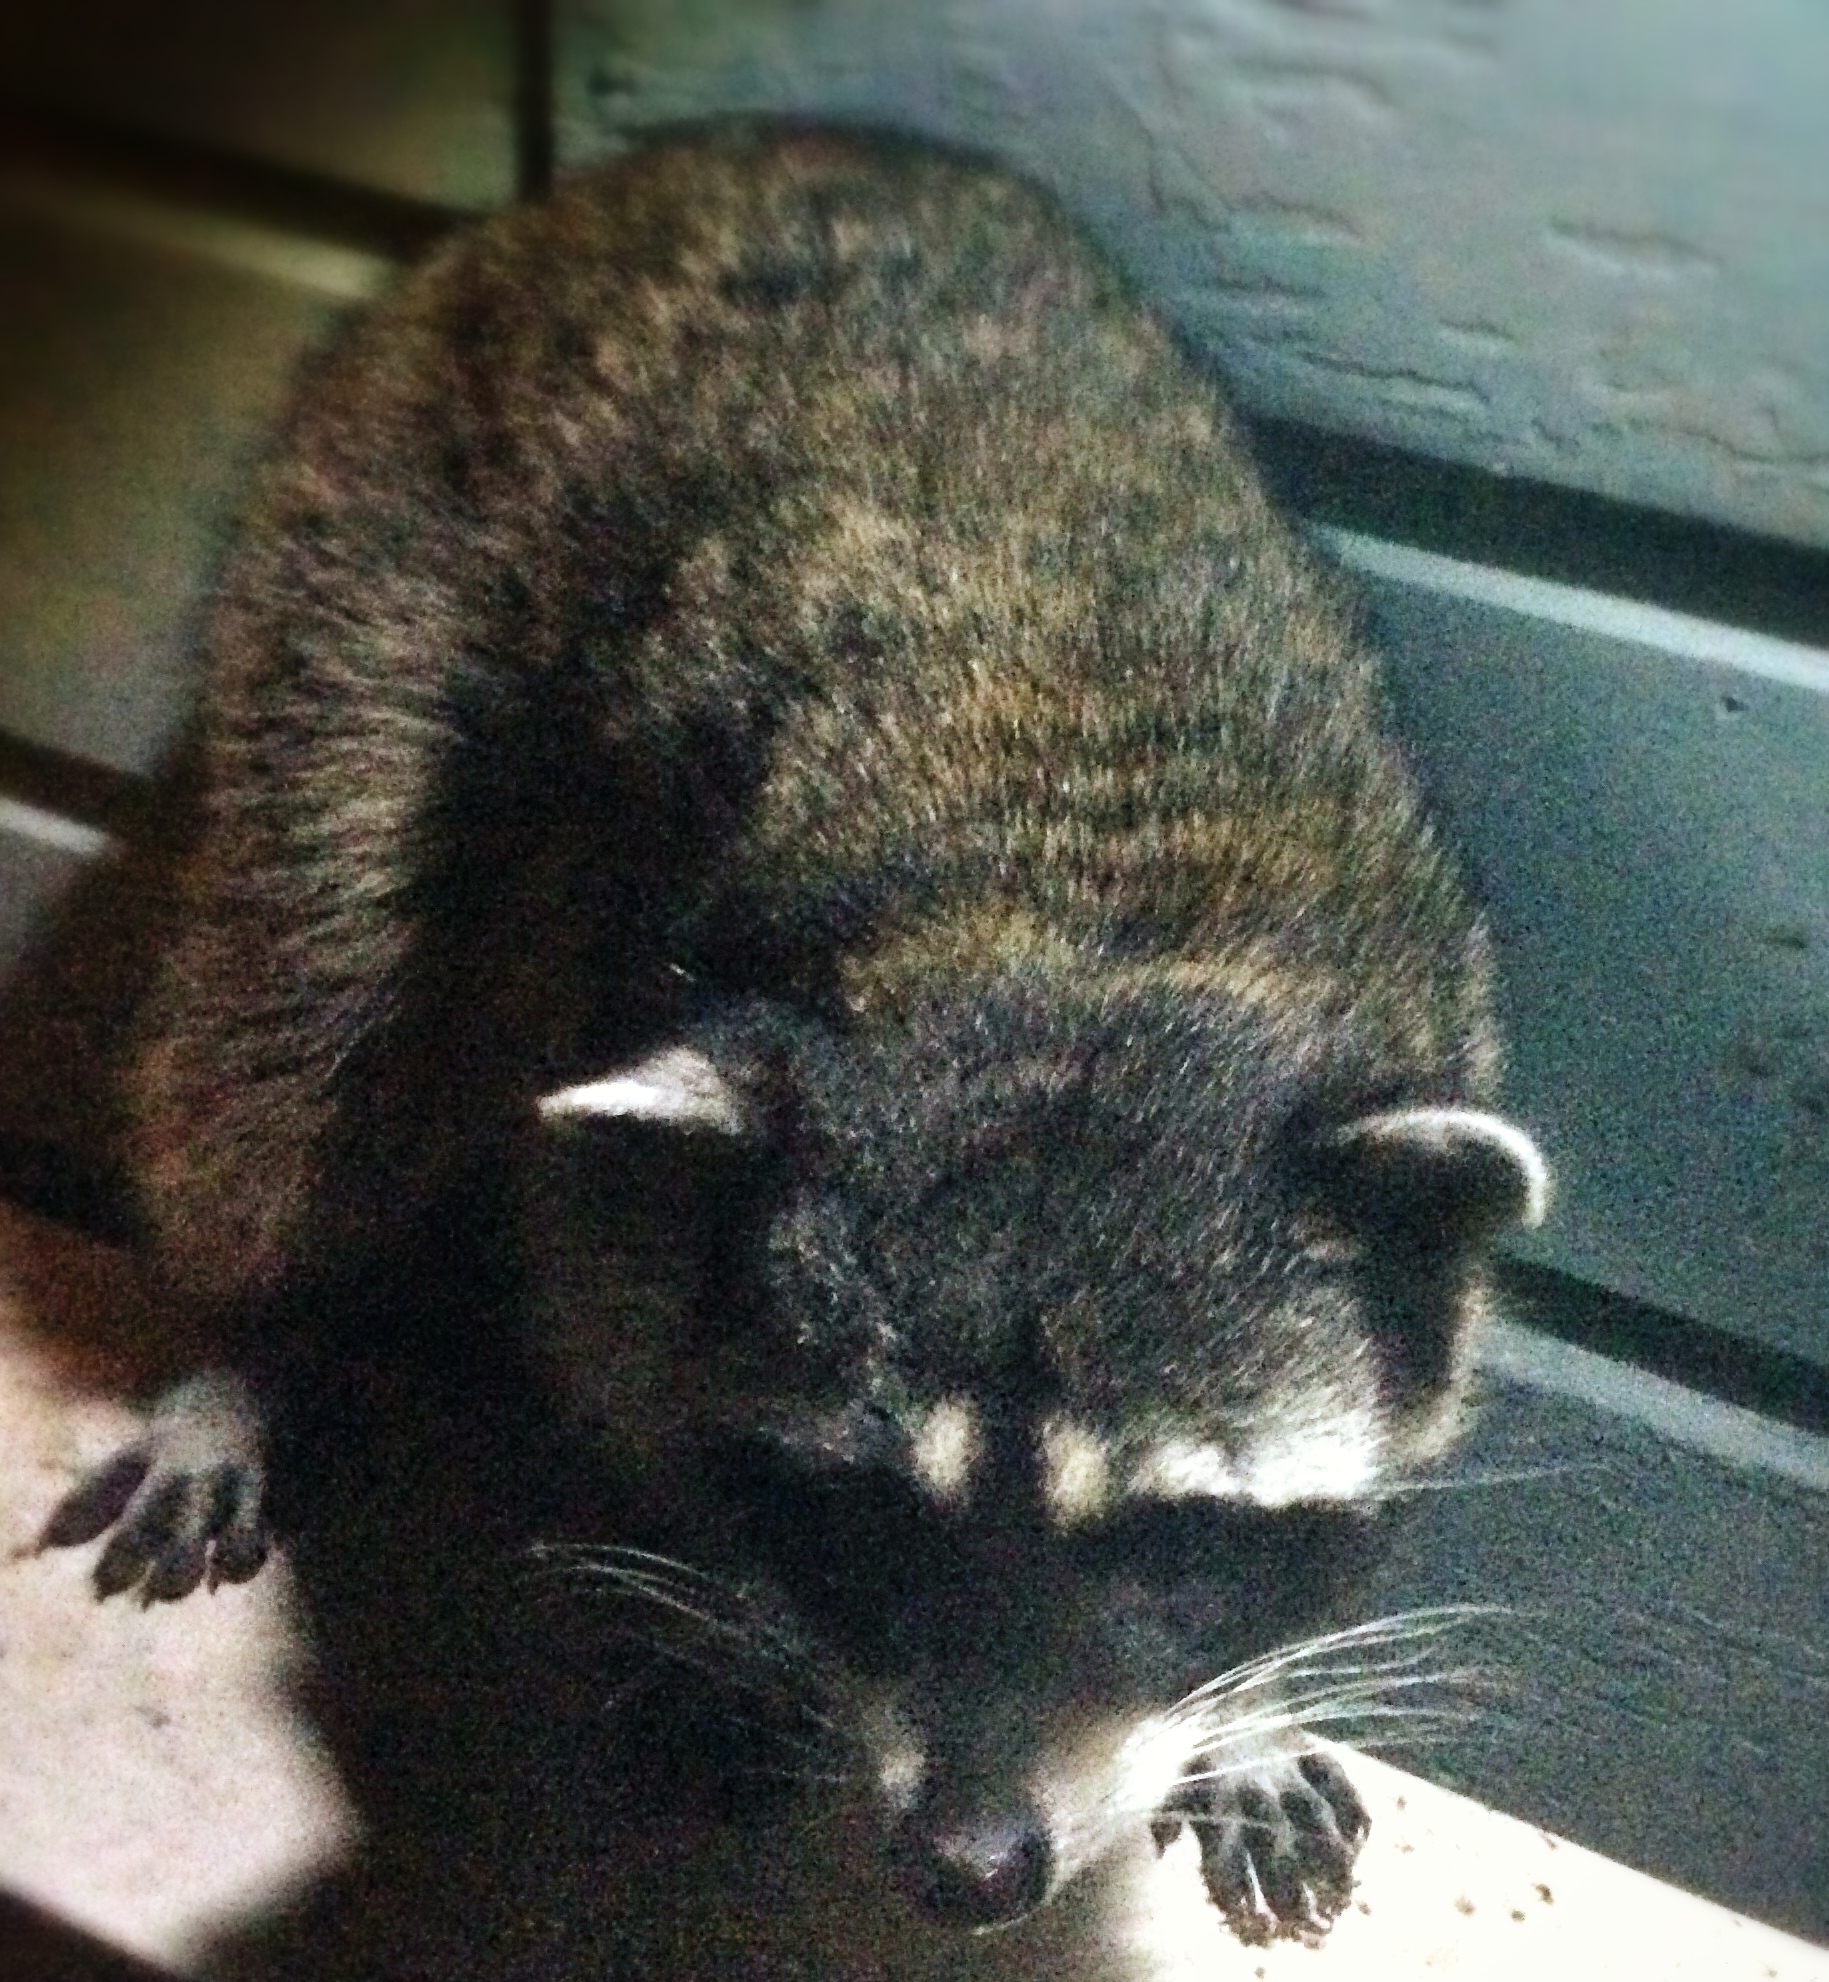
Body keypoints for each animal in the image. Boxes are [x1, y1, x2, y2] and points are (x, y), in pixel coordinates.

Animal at [46, 119, 1545, 1950]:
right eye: (857, 1516)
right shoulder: (639, 998)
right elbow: (608, 1312)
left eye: (1172, 1547)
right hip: (364, 549)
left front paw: (1252, 1696)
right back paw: (245, 1329)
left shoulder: (1431, 999)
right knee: (297, 983)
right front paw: (727, 1600)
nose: (968, 1865)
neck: (1073, 933)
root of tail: (693, 156)